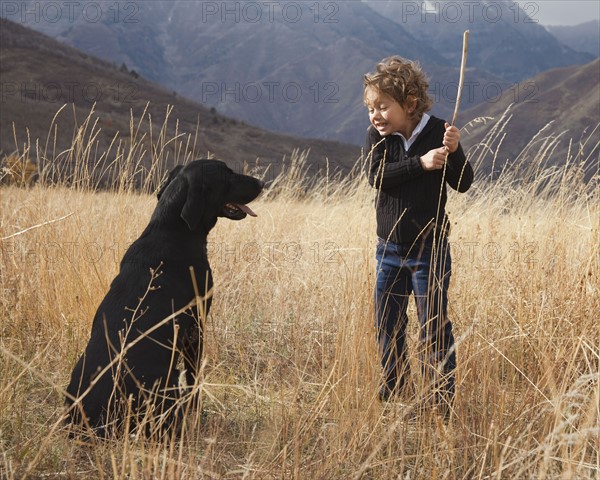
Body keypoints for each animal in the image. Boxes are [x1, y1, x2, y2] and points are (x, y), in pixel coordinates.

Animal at [65, 160, 262, 436]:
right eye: (228, 173)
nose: (261, 183)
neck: (173, 230)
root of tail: (94, 424)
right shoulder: (195, 327)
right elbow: (194, 378)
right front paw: (196, 412)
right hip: (169, 381)